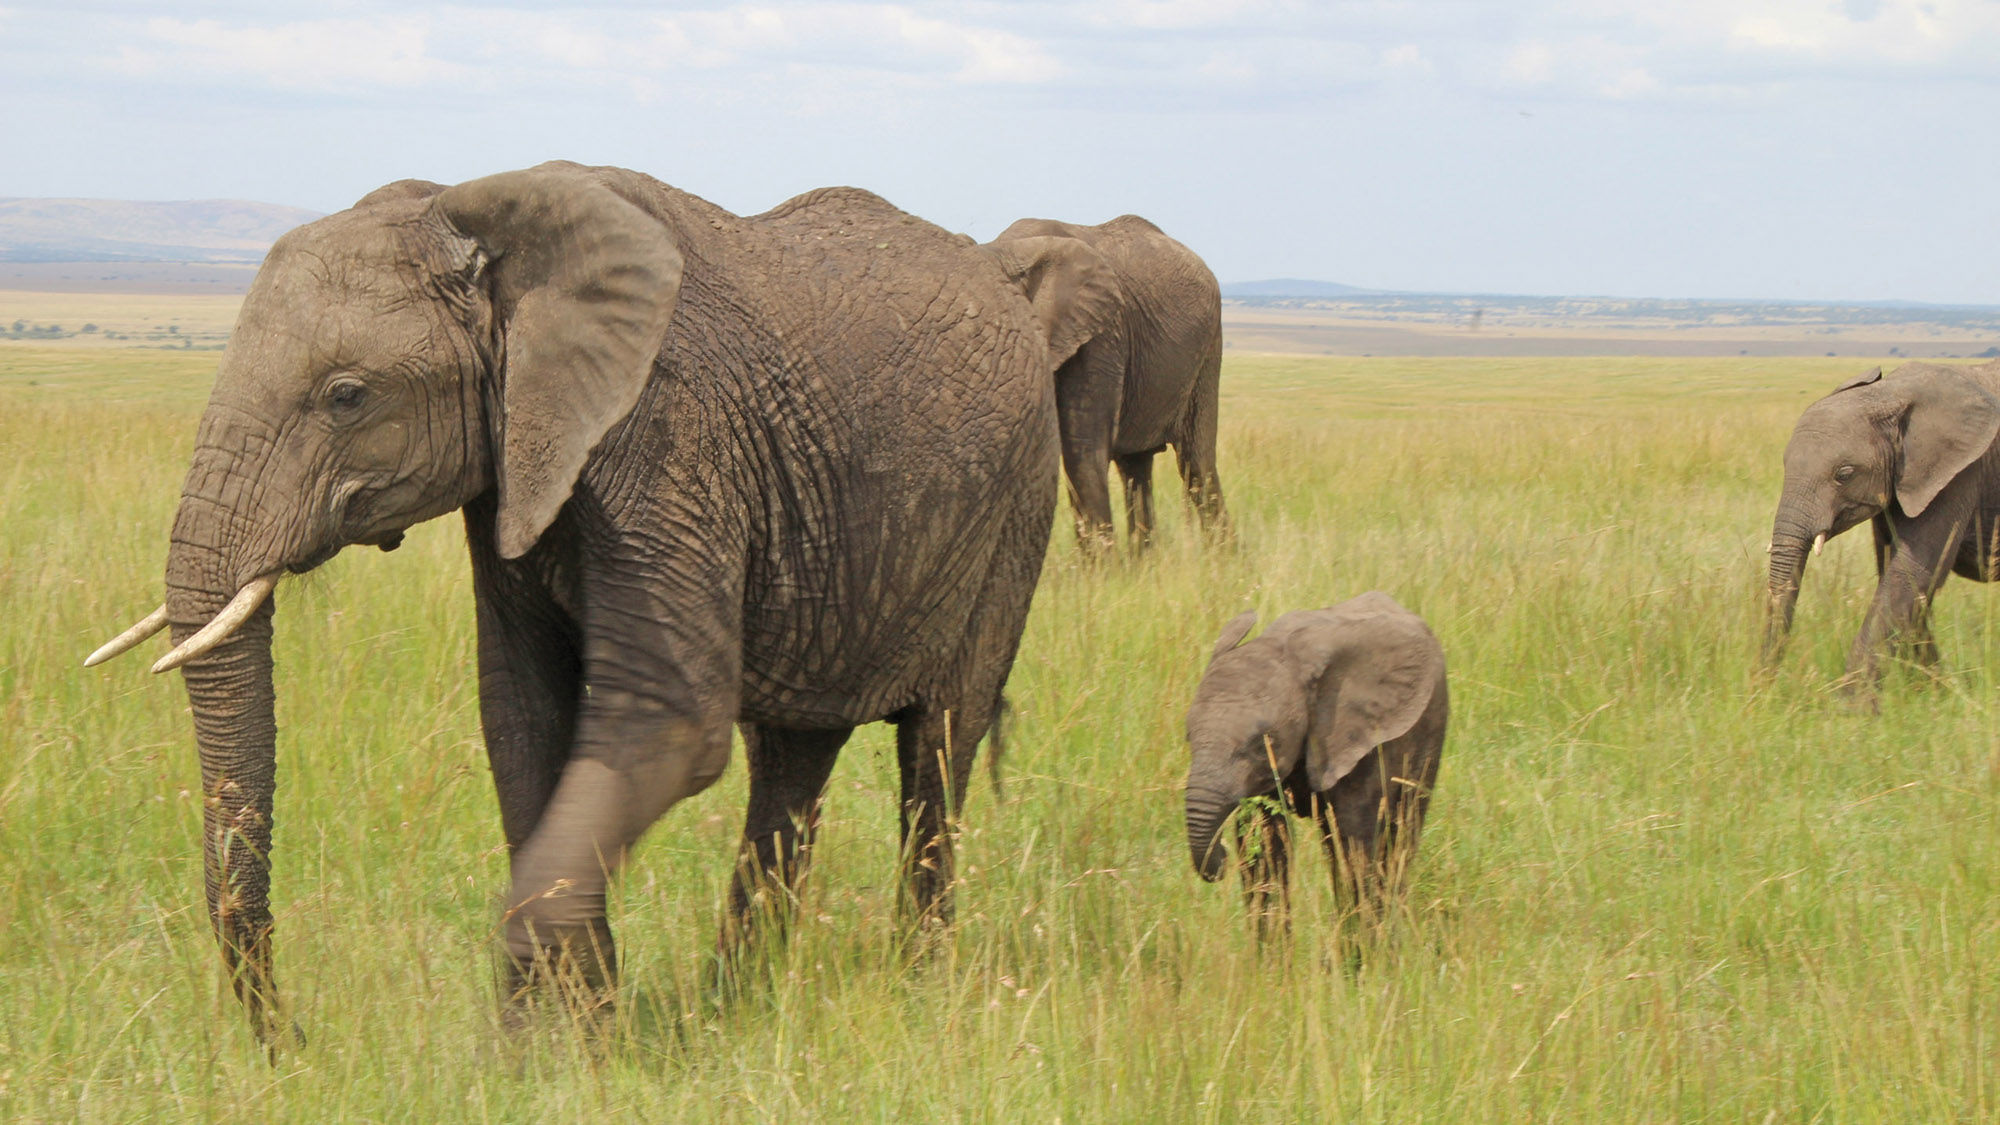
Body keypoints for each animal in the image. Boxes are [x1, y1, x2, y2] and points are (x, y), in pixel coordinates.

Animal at [83, 161, 1120, 1041]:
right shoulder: (516, 465)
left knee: (938, 747)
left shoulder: (667, 435)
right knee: (791, 762)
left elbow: (664, 728)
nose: (294, 1041)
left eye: (346, 394)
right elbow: (522, 715)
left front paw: (530, 1048)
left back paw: (916, 988)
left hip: (1015, 505)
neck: (481, 219)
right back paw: (733, 1006)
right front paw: (574, 1036)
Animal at [986, 215, 1227, 552]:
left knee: (1196, 465)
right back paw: (1145, 563)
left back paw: (1223, 559)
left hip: (1207, 351)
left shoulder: (1101, 334)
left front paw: (1097, 567)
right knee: (1135, 467)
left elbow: (1082, 451)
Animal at [1183, 593, 1447, 940]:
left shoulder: (1361, 740)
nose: (1221, 858)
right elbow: (1266, 848)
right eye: (1188, 736)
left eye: (1262, 743)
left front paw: (1362, 953)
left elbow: (1356, 844)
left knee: (1399, 834)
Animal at [1762, 361, 2000, 699]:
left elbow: (1912, 573)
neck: (1888, 395)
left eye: (1844, 474)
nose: (1765, 691)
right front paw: (1934, 696)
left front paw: (1850, 707)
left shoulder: (1960, 474)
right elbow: (1901, 578)